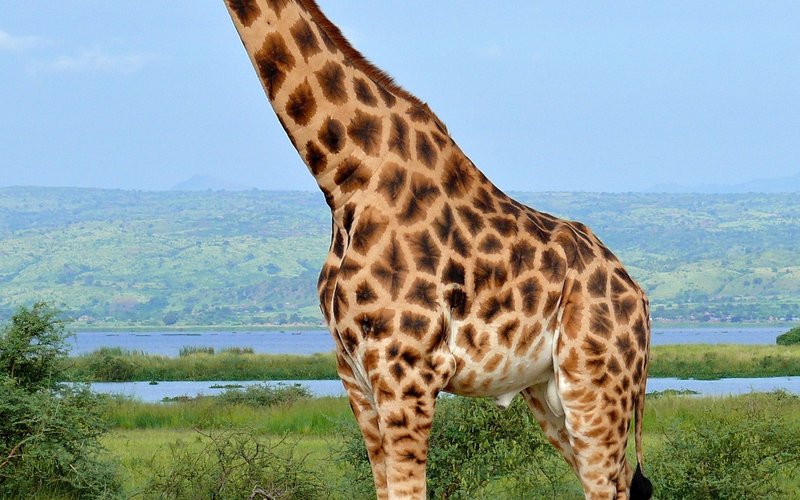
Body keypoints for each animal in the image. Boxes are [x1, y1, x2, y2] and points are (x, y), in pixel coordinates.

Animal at [223, 1, 653, 498]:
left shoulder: (406, 373)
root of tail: (641, 300)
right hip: (552, 394)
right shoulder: (355, 377)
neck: (344, 177)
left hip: (595, 385)